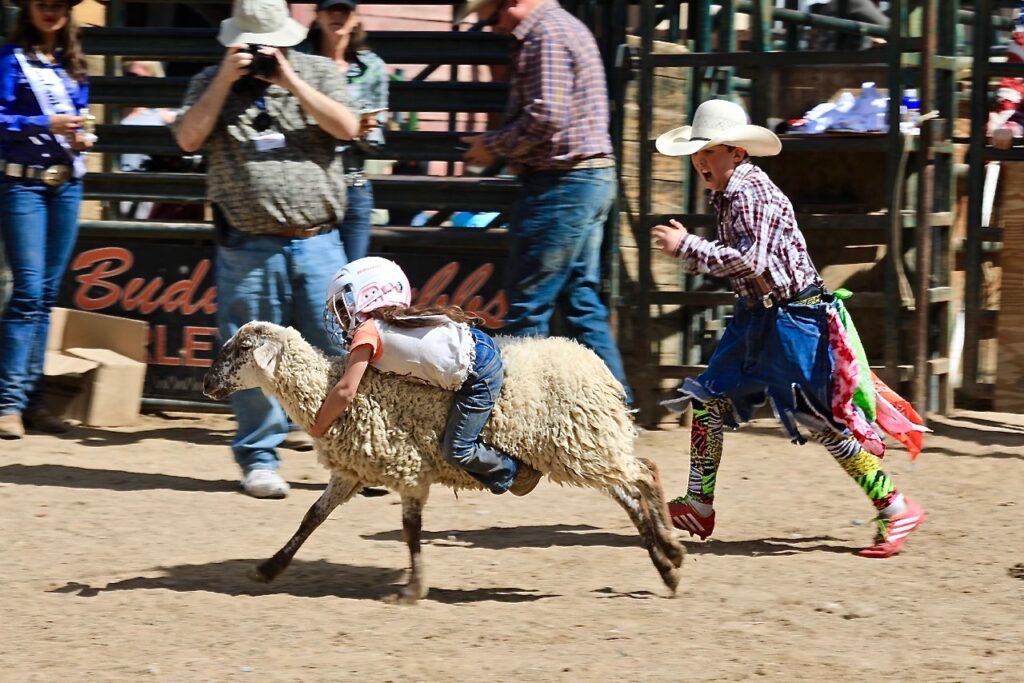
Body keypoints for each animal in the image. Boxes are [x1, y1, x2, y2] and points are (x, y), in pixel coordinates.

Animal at [202, 321, 684, 602]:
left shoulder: (408, 469)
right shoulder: (354, 472)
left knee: (644, 473)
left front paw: (413, 589)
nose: (207, 383)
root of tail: (599, 368)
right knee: (630, 490)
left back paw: (672, 547)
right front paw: (269, 568)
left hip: (581, 443)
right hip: (584, 446)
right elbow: (311, 517)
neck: (332, 387)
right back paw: (667, 565)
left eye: (241, 348)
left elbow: (410, 531)